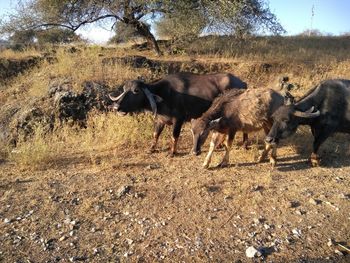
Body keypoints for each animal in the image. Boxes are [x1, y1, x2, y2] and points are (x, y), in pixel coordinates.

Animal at [109, 72, 246, 157]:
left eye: (136, 91)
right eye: (124, 89)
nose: (116, 107)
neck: (164, 95)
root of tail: (243, 83)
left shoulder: (178, 120)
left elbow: (174, 136)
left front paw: (172, 152)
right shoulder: (160, 120)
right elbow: (155, 134)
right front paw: (151, 148)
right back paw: (220, 145)